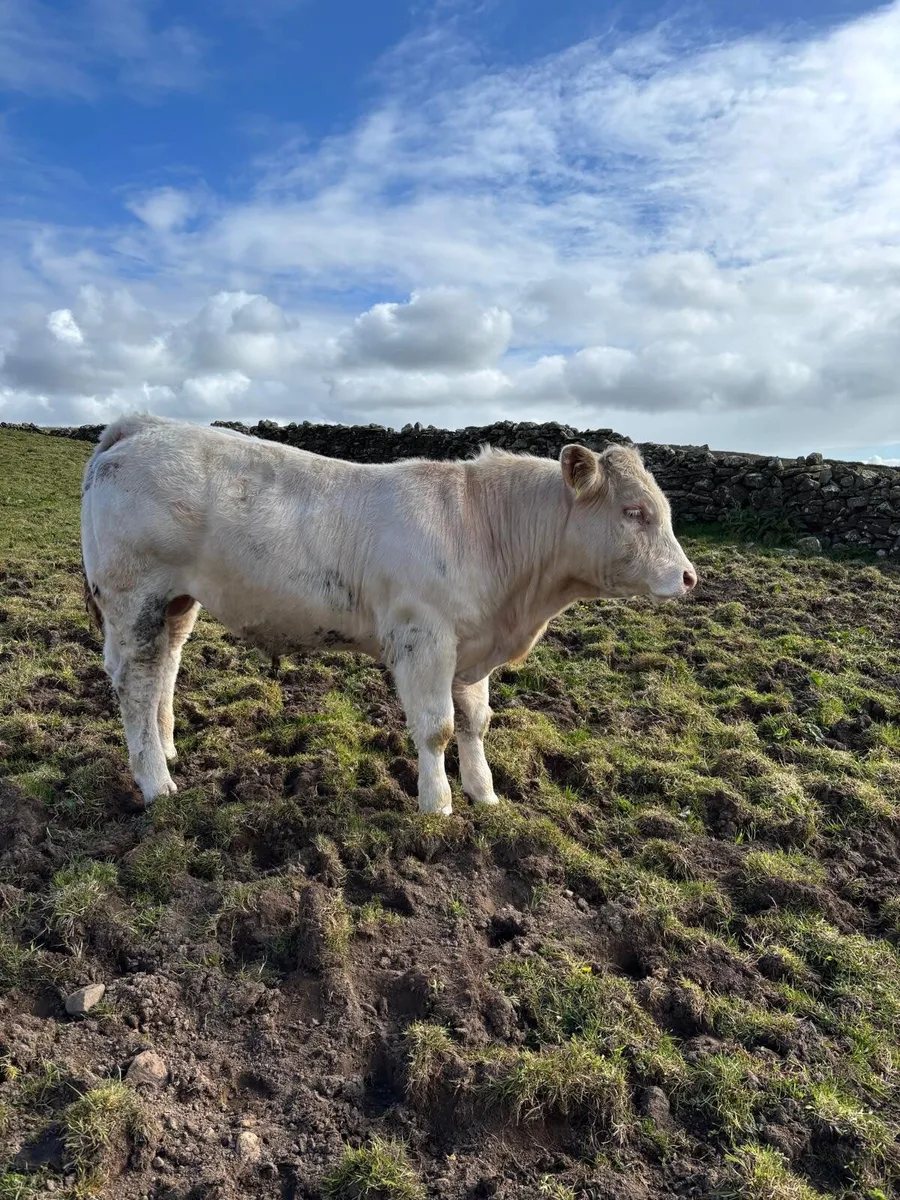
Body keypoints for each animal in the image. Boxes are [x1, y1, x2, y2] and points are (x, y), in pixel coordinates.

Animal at [80, 413, 697, 815]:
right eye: (634, 511)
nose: (690, 576)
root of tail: (144, 426)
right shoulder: (424, 638)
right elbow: (437, 727)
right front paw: (438, 804)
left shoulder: (471, 649)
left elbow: (475, 721)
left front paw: (485, 794)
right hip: (133, 598)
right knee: (135, 680)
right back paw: (156, 783)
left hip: (177, 602)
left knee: (165, 667)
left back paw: (166, 749)